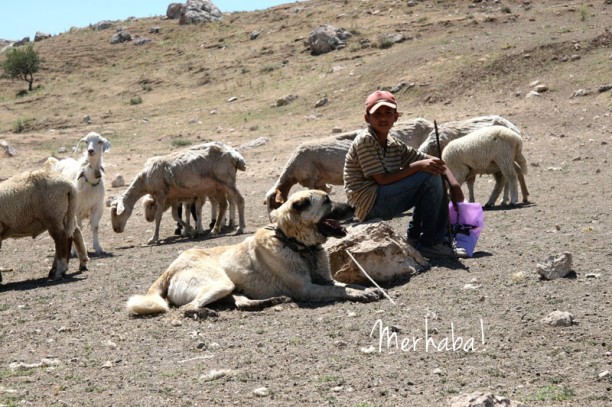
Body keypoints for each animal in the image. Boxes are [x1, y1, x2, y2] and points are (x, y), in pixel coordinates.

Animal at [111, 143, 245, 245]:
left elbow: (159, 217)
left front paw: (154, 238)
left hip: (226, 181)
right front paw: (191, 230)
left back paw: (240, 228)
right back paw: (216, 229)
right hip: (218, 186)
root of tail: (235, 155)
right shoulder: (173, 197)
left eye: (115, 213)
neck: (144, 180)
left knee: (239, 199)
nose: (116, 230)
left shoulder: (160, 194)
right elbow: (176, 215)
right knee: (223, 205)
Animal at [126, 189, 380, 318]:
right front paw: (360, 294)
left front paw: (367, 288)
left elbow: (345, 284)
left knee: (240, 303)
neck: (296, 244)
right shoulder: (308, 289)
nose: (353, 207)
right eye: (327, 201)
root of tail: (170, 268)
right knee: (187, 308)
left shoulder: (325, 280)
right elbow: (340, 290)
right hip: (221, 283)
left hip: (230, 287)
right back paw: (203, 313)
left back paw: (270, 301)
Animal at [266, 117, 432, 215]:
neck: (292, 170)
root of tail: (426, 122)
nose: (273, 221)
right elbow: (325, 191)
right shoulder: (319, 181)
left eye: (274, 203)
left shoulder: (310, 179)